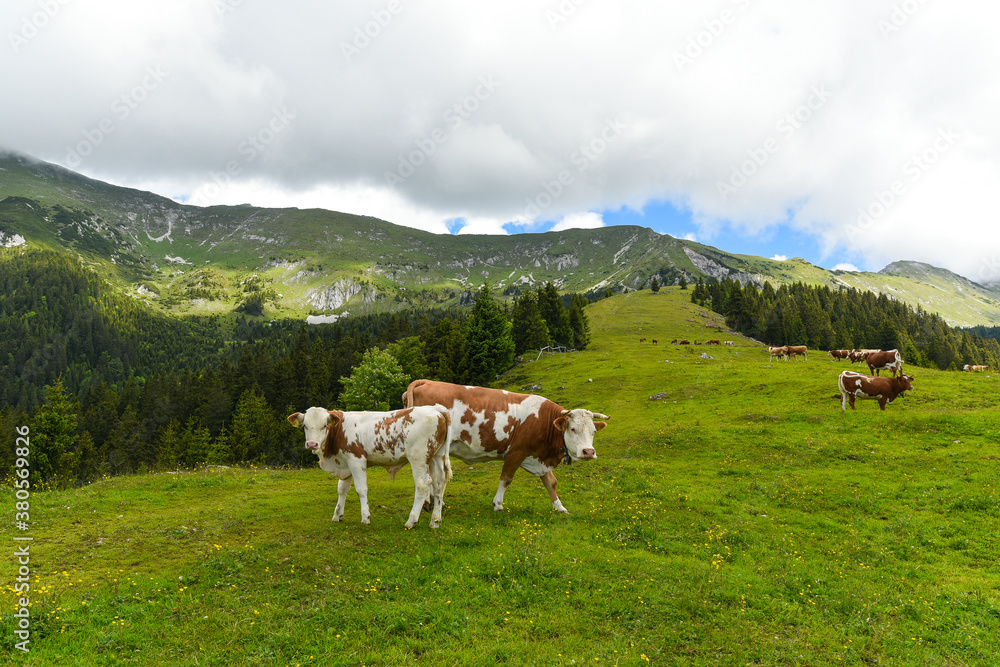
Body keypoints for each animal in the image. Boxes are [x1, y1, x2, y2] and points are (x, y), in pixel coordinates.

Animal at [286, 404, 450, 528]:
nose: (311, 444)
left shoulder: (356, 460)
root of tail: (436, 409)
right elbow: (342, 489)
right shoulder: (345, 464)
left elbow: (361, 489)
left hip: (418, 459)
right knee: (438, 485)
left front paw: (365, 517)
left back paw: (411, 521)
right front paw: (337, 515)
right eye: (305, 426)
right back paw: (435, 521)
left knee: (423, 486)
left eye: (325, 425)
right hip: (437, 456)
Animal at [404, 378, 608, 516]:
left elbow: (551, 482)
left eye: (593, 432)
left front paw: (560, 507)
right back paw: (429, 503)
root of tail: (427, 381)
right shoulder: (516, 452)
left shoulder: (537, 456)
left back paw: (436, 503)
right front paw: (498, 504)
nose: (588, 452)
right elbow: (506, 479)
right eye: (573, 429)